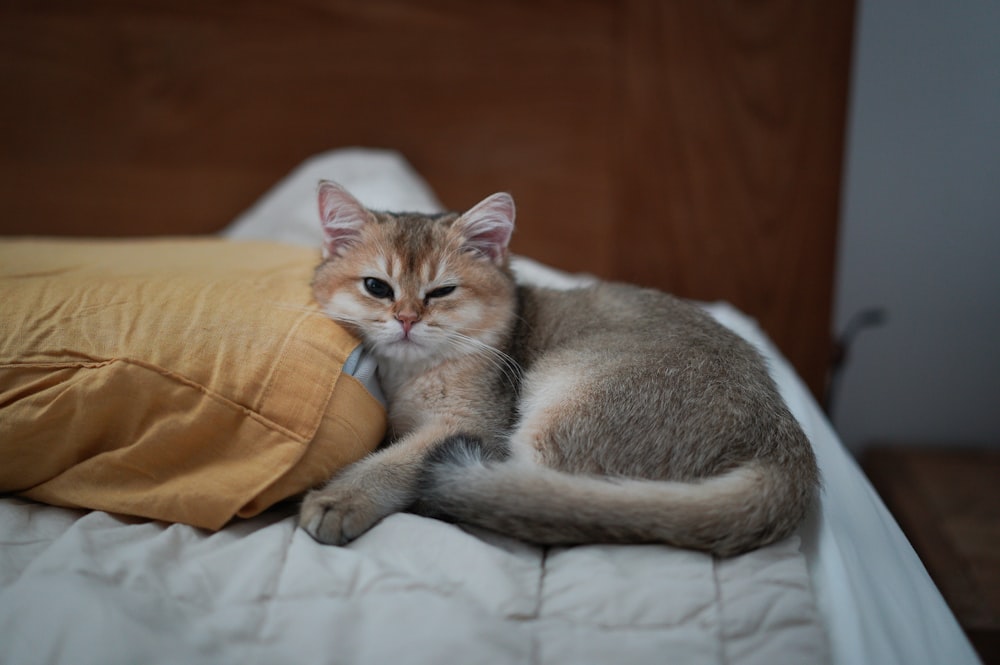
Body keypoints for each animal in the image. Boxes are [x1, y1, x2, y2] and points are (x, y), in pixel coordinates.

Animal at [300, 180, 816, 556]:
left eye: (442, 291)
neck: (413, 374)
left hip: (561, 404)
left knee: (533, 506)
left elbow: (398, 460)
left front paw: (340, 499)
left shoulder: (470, 423)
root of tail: (784, 449)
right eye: (377, 287)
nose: (406, 320)